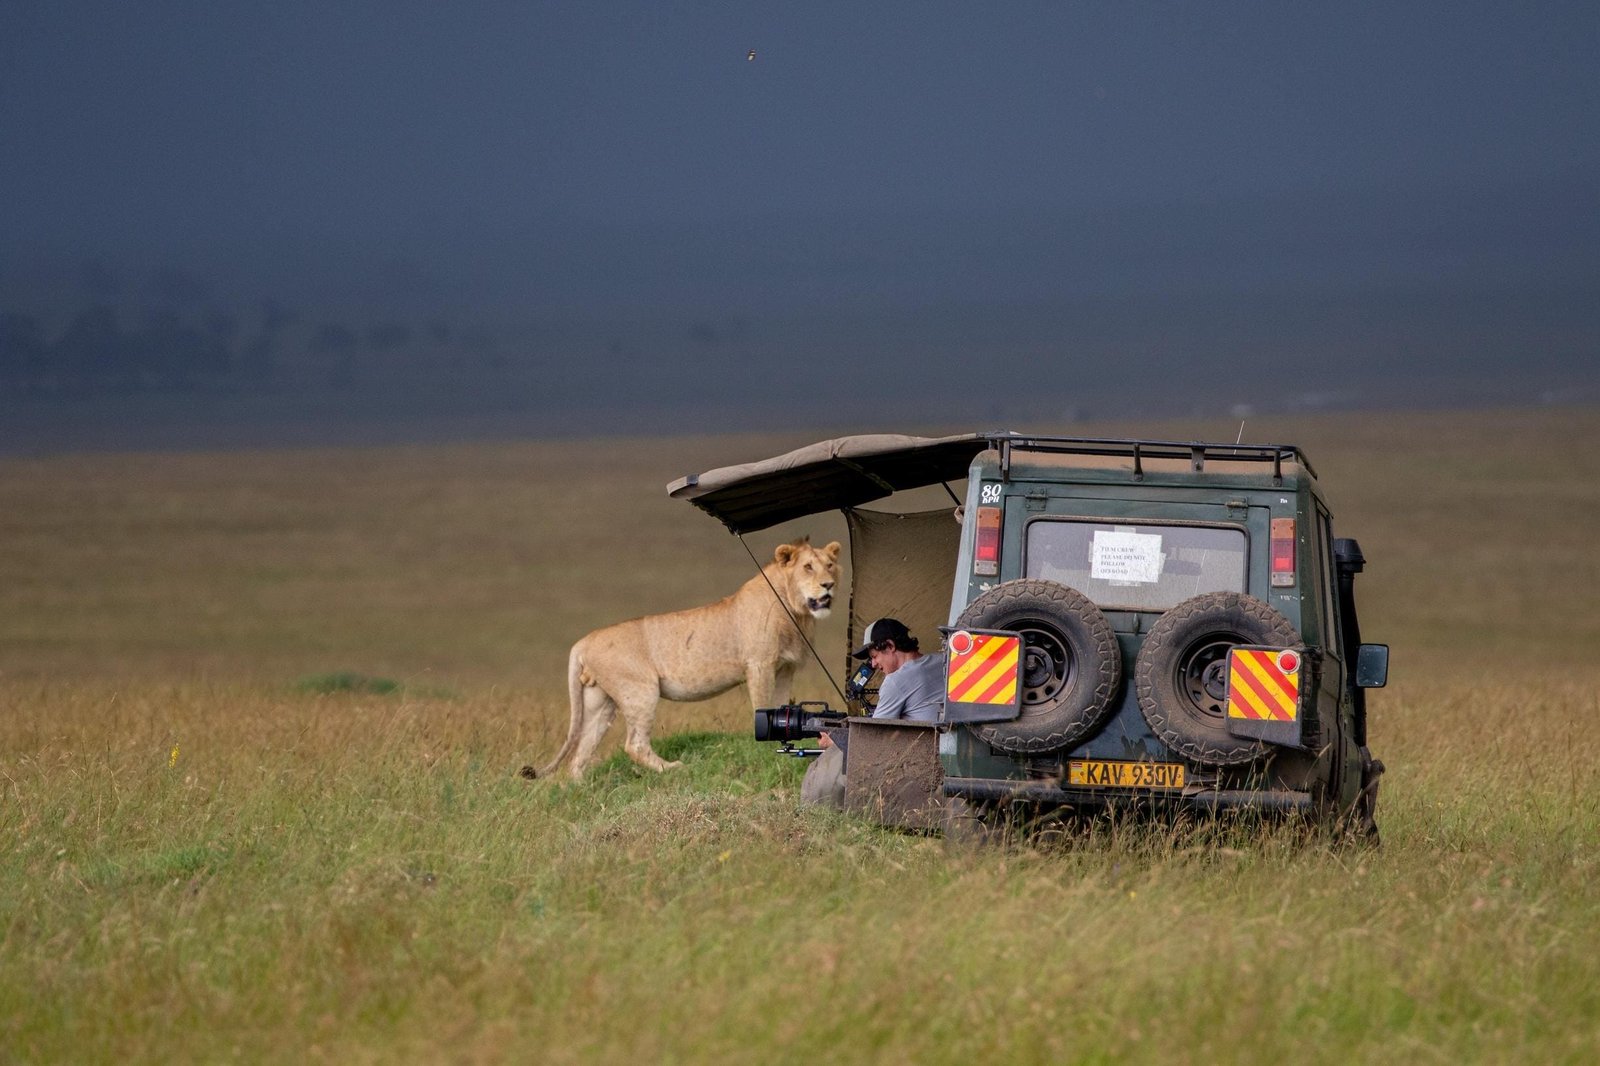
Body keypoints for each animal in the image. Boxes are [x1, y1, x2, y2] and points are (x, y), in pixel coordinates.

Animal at [528, 537, 843, 780]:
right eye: (807, 567)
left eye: (829, 565)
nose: (828, 585)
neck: (797, 613)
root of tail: (583, 641)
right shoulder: (759, 664)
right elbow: (763, 704)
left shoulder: (786, 668)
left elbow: (780, 702)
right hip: (640, 690)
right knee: (634, 744)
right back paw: (671, 768)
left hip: (599, 701)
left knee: (581, 751)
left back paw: (580, 787)